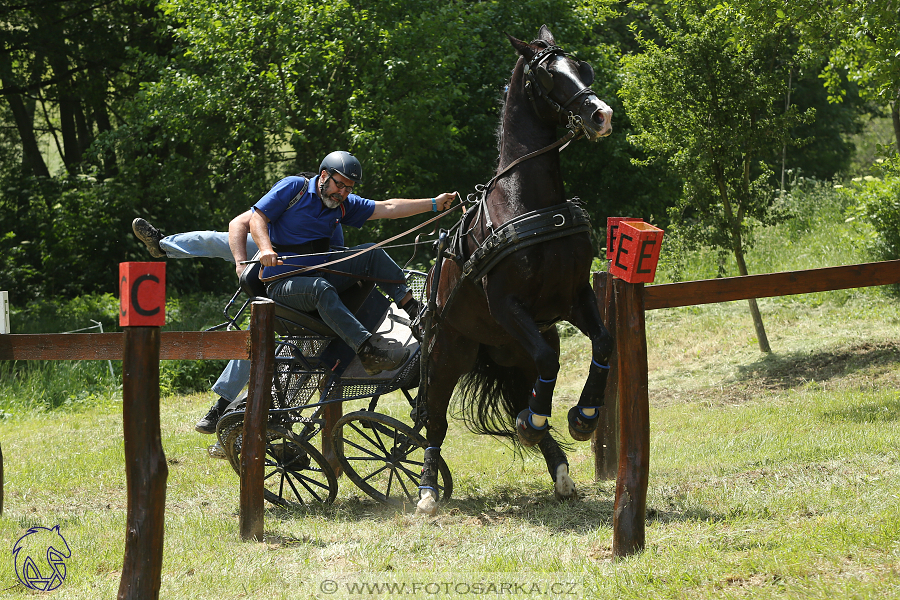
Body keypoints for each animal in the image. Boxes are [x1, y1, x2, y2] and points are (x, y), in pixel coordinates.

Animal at [418, 25, 616, 512]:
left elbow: (603, 343)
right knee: (434, 424)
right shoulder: (508, 306)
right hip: (448, 355)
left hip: (512, 354)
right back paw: (428, 490)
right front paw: (539, 420)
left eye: (581, 68)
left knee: (529, 387)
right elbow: (549, 359)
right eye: (548, 76)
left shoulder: (574, 296)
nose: (601, 115)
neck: (530, 203)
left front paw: (584, 416)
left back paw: (558, 467)